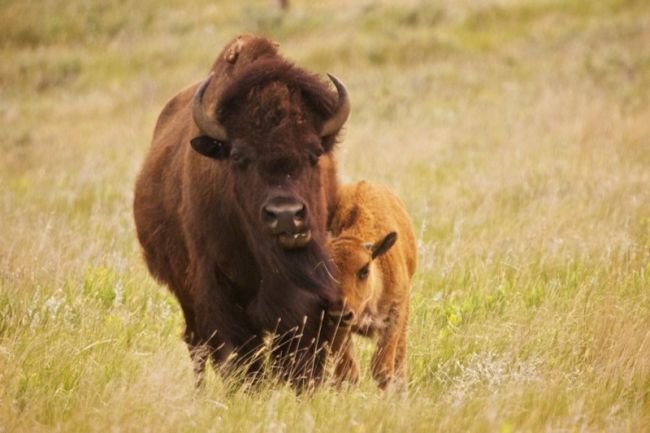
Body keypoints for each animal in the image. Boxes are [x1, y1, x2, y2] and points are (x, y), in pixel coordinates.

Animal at [133, 35, 350, 386]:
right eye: (238, 156)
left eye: (315, 153)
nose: (286, 215)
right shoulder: (217, 295)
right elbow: (240, 360)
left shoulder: (310, 301)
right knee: (195, 346)